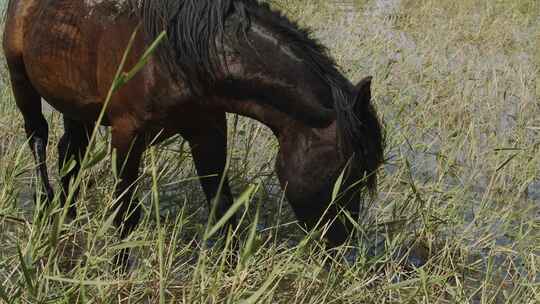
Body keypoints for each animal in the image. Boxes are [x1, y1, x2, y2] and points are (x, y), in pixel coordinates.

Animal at [3, 0, 384, 266]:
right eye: (350, 171)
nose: (341, 247)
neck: (175, 55)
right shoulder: (127, 136)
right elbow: (125, 215)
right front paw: (119, 269)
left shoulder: (209, 133)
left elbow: (223, 208)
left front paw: (230, 269)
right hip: (21, 79)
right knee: (37, 136)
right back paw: (46, 204)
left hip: (77, 103)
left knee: (71, 153)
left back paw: (67, 212)